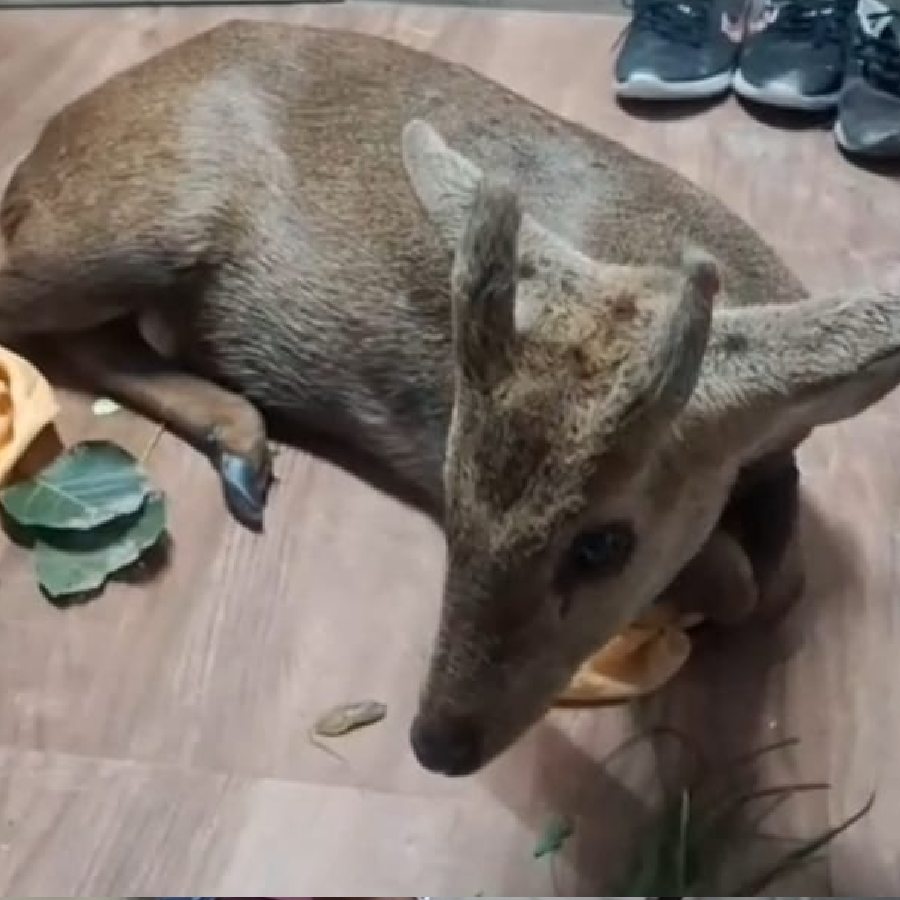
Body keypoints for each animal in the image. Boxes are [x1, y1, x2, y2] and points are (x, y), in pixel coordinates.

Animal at [2, 20, 899, 777]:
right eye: (451, 488)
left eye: (602, 545)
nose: (436, 741)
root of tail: (43, 147)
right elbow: (745, 583)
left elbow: (780, 579)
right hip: (121, 230)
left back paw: (243, 452)